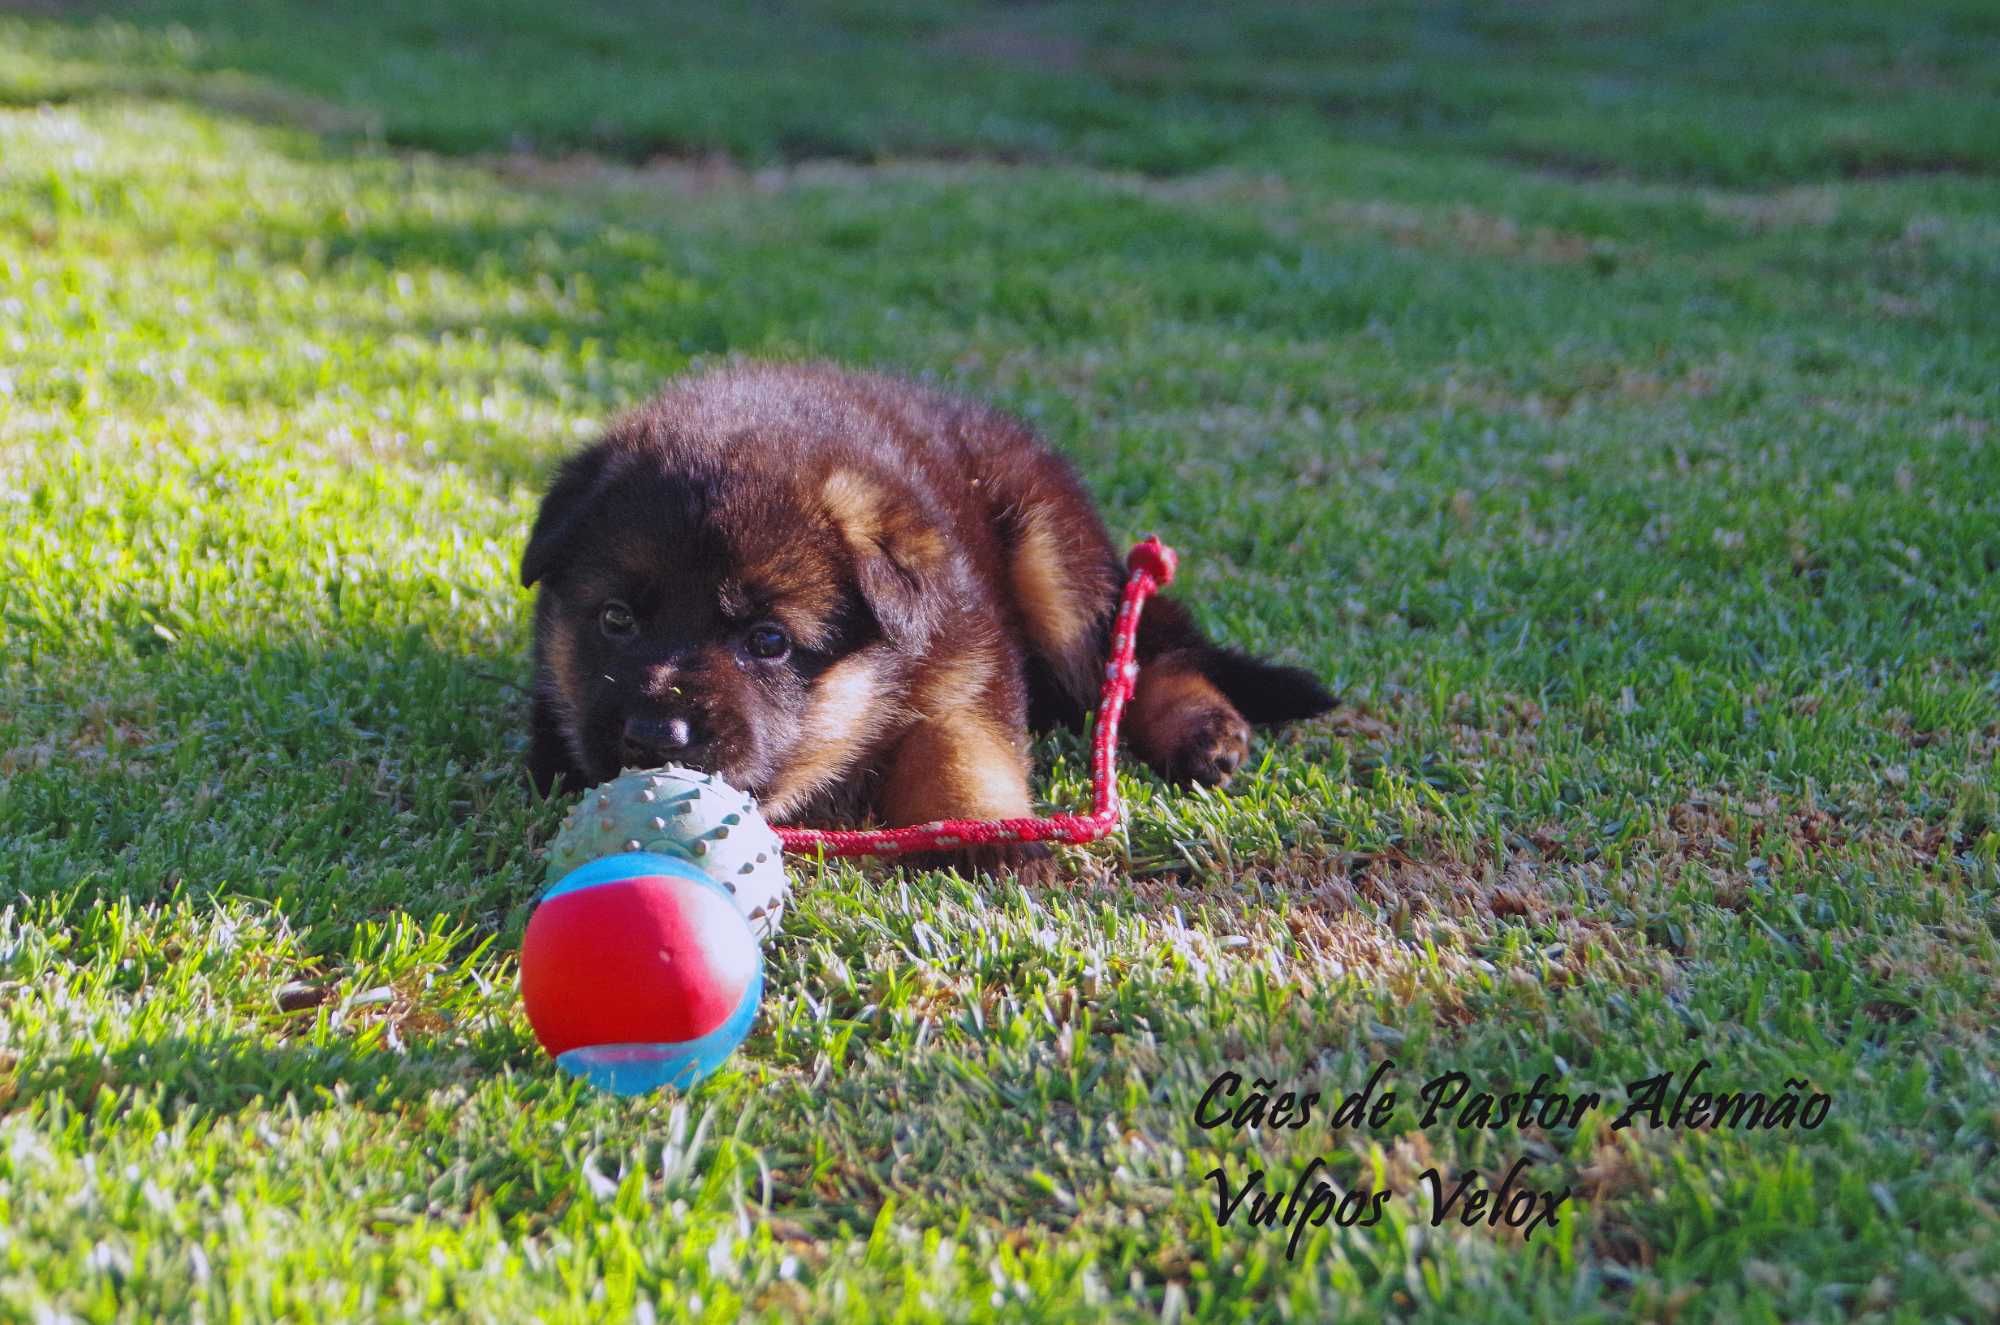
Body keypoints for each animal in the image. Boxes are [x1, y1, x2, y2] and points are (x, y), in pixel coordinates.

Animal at [520, 368, 1328, 876]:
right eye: (616, 619)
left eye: (769, 642)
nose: (657, 735)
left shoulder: (966, 663)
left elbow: (961, 750)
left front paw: (990, 835)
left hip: (1053, 562)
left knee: (1135, 659)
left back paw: (1202, 728)